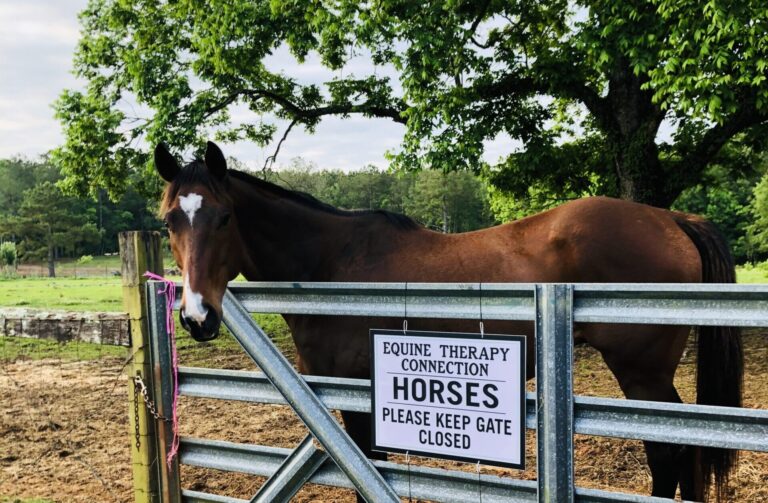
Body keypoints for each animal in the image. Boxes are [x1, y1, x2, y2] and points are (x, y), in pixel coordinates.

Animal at [158, 140, 744, 502]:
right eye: (169, 222)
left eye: (225, 217)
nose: (196, 316)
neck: (333, 262)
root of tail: (671, 219)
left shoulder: (354, 393)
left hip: (643, 375)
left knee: (670, 453)